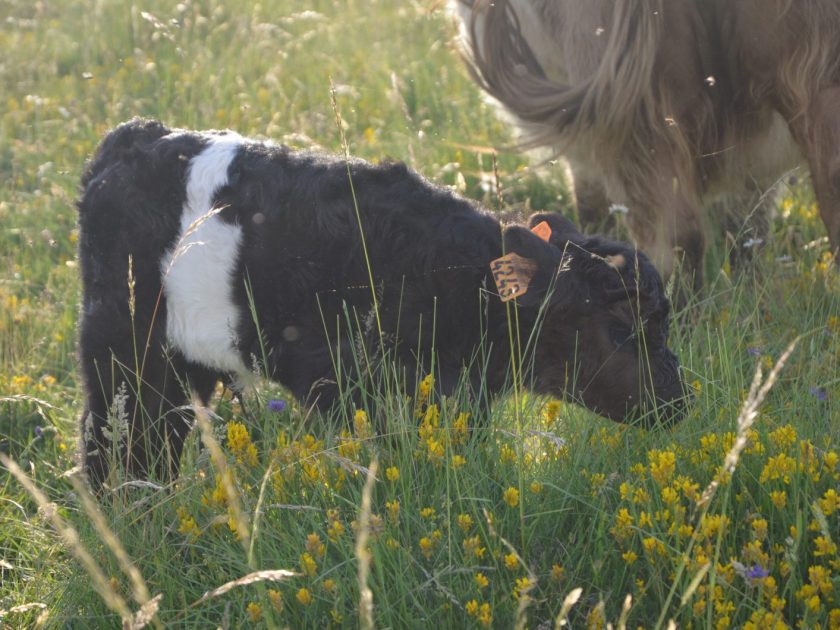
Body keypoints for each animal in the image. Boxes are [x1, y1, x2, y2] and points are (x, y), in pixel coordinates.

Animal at [75, 121, 684, 492]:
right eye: (619, 326)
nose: (679, 402)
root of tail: (129, 139)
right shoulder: (358, 384)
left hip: (181, 367)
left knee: (156, 444)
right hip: (122, 353)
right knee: (110, 444)